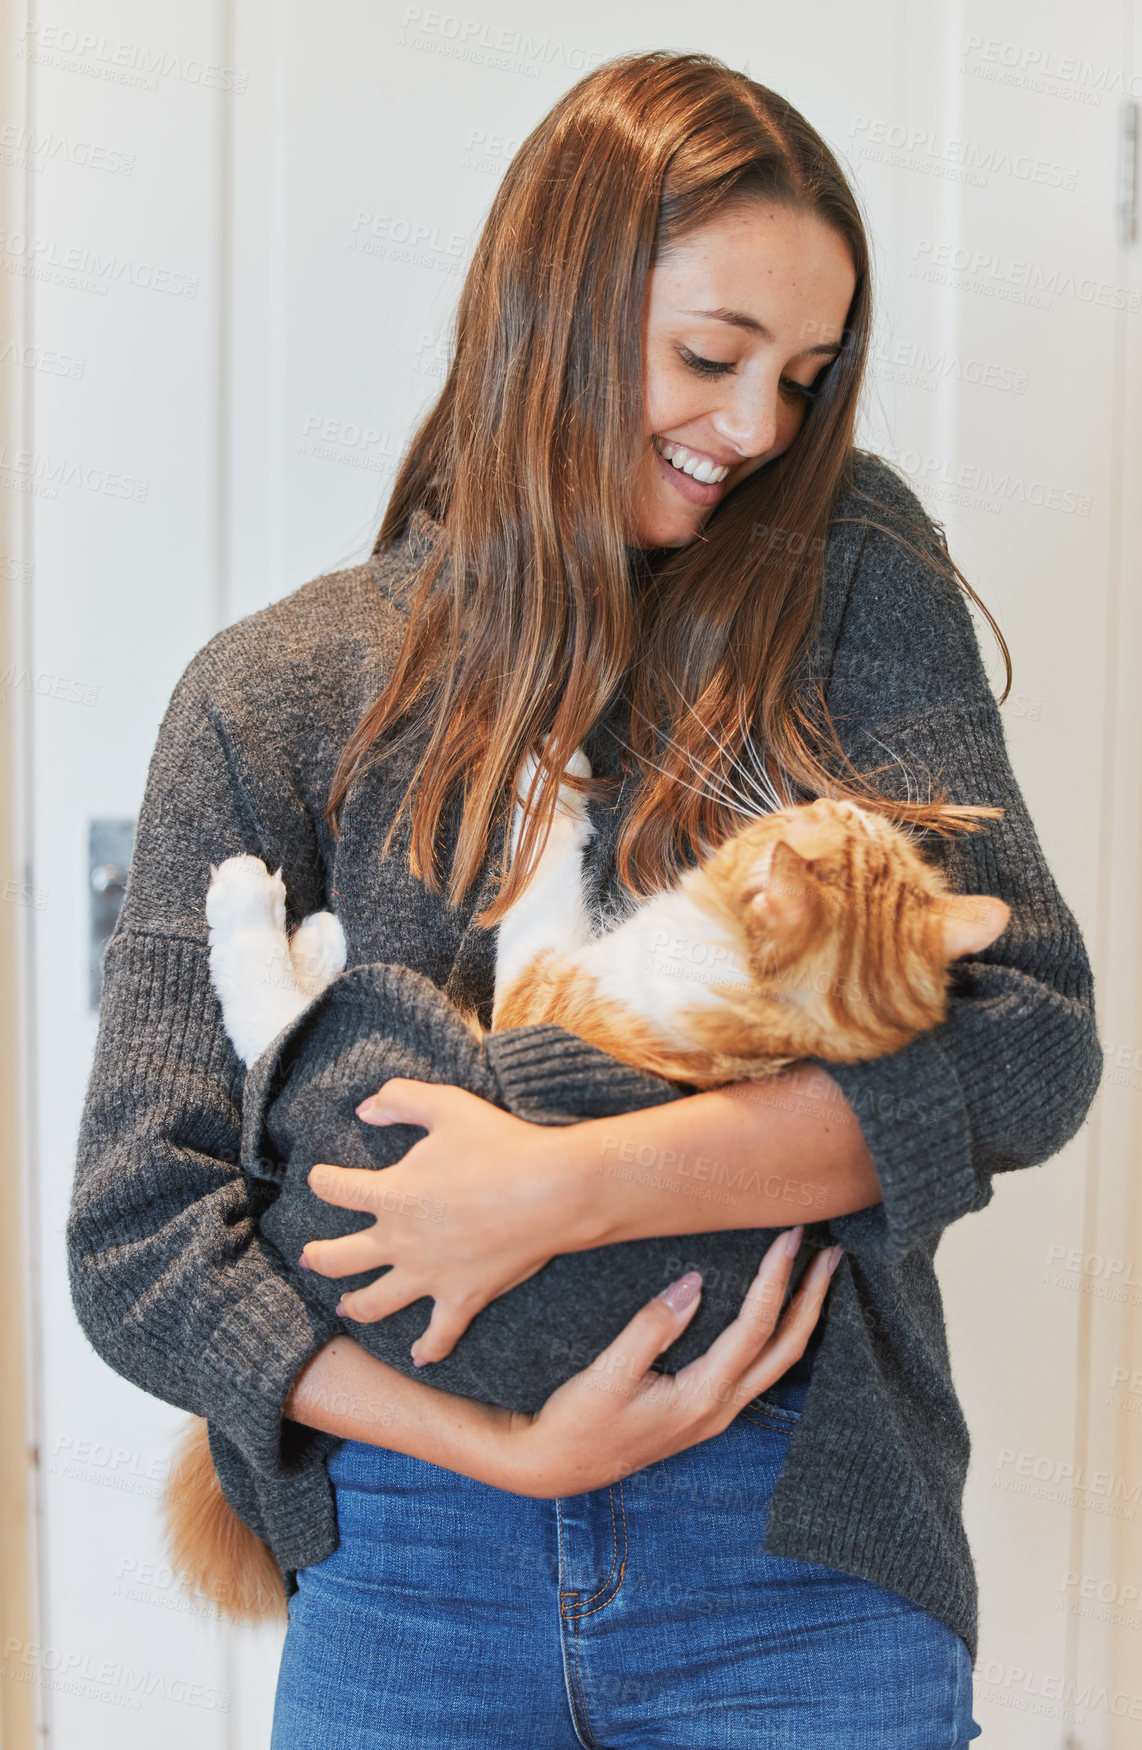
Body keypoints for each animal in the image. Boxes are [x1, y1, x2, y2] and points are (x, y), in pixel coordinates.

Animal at [162, 745, 1007, 1617]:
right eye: (843, 821)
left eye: (810, 823)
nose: (839, 796)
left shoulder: (524, 1000)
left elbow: (528, 902)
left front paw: (547, 780)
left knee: (279, 1029)